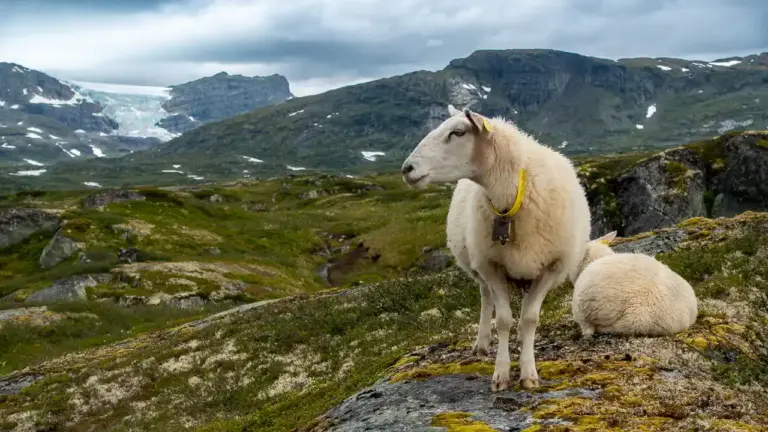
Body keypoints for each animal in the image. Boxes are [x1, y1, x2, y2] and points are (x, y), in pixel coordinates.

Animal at [401, 104, 591, 391]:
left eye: (458, 132)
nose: (407, 168)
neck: (513, 195)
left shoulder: (551, 267)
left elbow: (529, 319)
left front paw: (528, 372)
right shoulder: (491, 266)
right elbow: (502, 320)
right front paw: (501, 373)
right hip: (478, 264)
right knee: (485, 297)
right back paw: (482, 343)